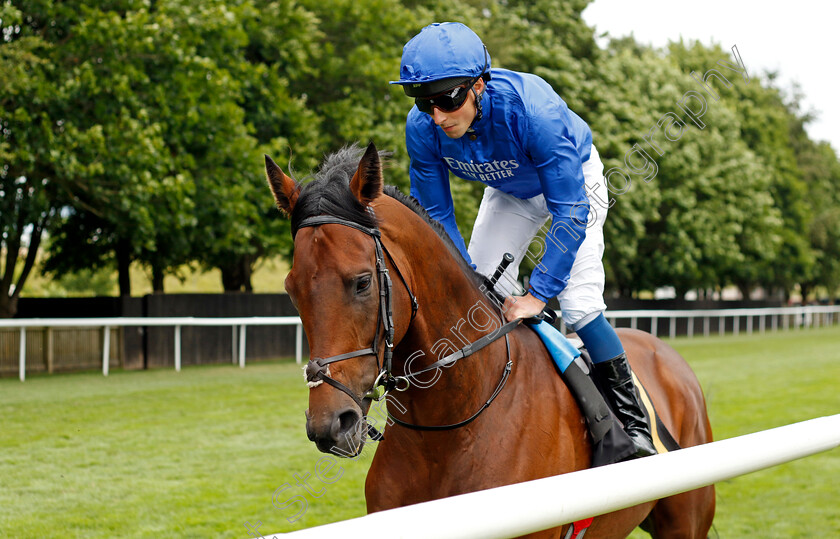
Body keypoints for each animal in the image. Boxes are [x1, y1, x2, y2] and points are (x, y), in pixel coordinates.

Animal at [266, 144, 712, 539]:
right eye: (291, 289)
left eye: (361, 282)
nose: (330, 424)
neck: (448, 426)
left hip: (685, 523)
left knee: (585, 307)